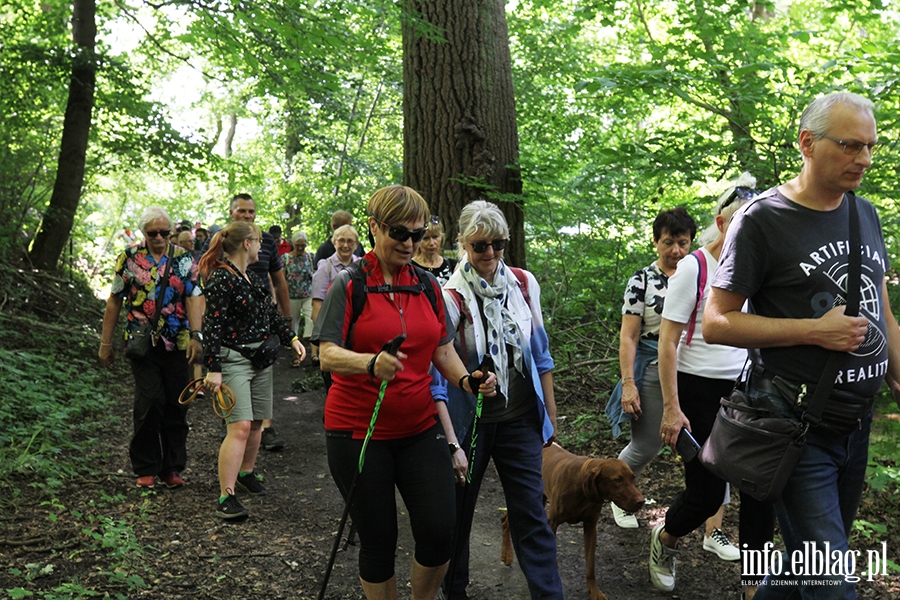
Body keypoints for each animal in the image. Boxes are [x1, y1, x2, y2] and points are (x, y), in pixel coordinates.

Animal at [500, 440, 648, 600]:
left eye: (633, 478)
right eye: (617, 480)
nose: (642, 501)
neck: (582, 486)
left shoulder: (590, 527)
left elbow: (590, 566)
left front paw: (594, 591)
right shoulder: (552, 523)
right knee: (506, 520)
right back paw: (507, 555)